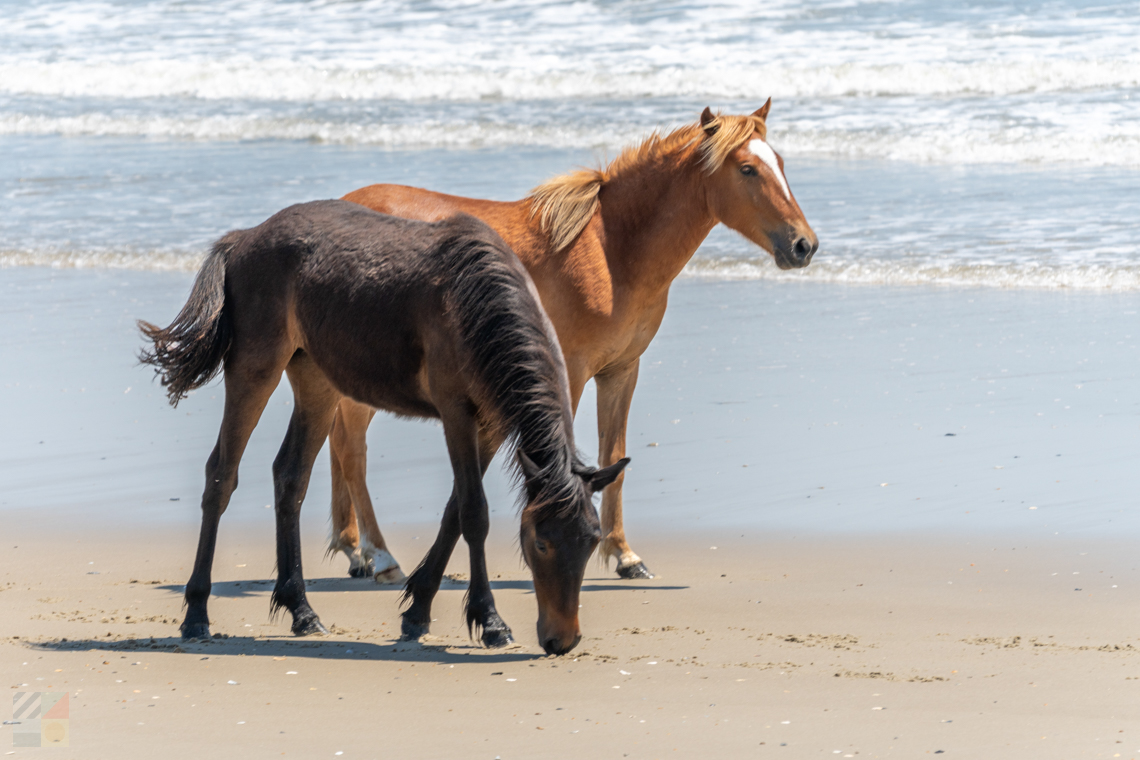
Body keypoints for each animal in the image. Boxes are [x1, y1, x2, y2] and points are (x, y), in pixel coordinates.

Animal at [139, 200, 628, 654]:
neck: (474, 303)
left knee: (290, 477)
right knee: (221, 476)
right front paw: (489, 620)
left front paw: (418, 609)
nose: (562, 640)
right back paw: (197, 613)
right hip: (254, 370)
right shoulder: (457, 414)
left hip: (317, 381)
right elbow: (474, 513)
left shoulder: (489, 425)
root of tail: (242, 238)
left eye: (591, 542)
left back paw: (301, 609)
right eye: (540, 543)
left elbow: (454, 512)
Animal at [326, 101, 817, 582]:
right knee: (351, 452)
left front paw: (623, 554)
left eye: (780, 163)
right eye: (748, 169)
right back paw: (380, 556)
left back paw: (354, 550)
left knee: (336, 444)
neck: (611, 251)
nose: (804, 245)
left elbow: (612, 457)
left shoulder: (621, 371)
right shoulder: (573, 372)